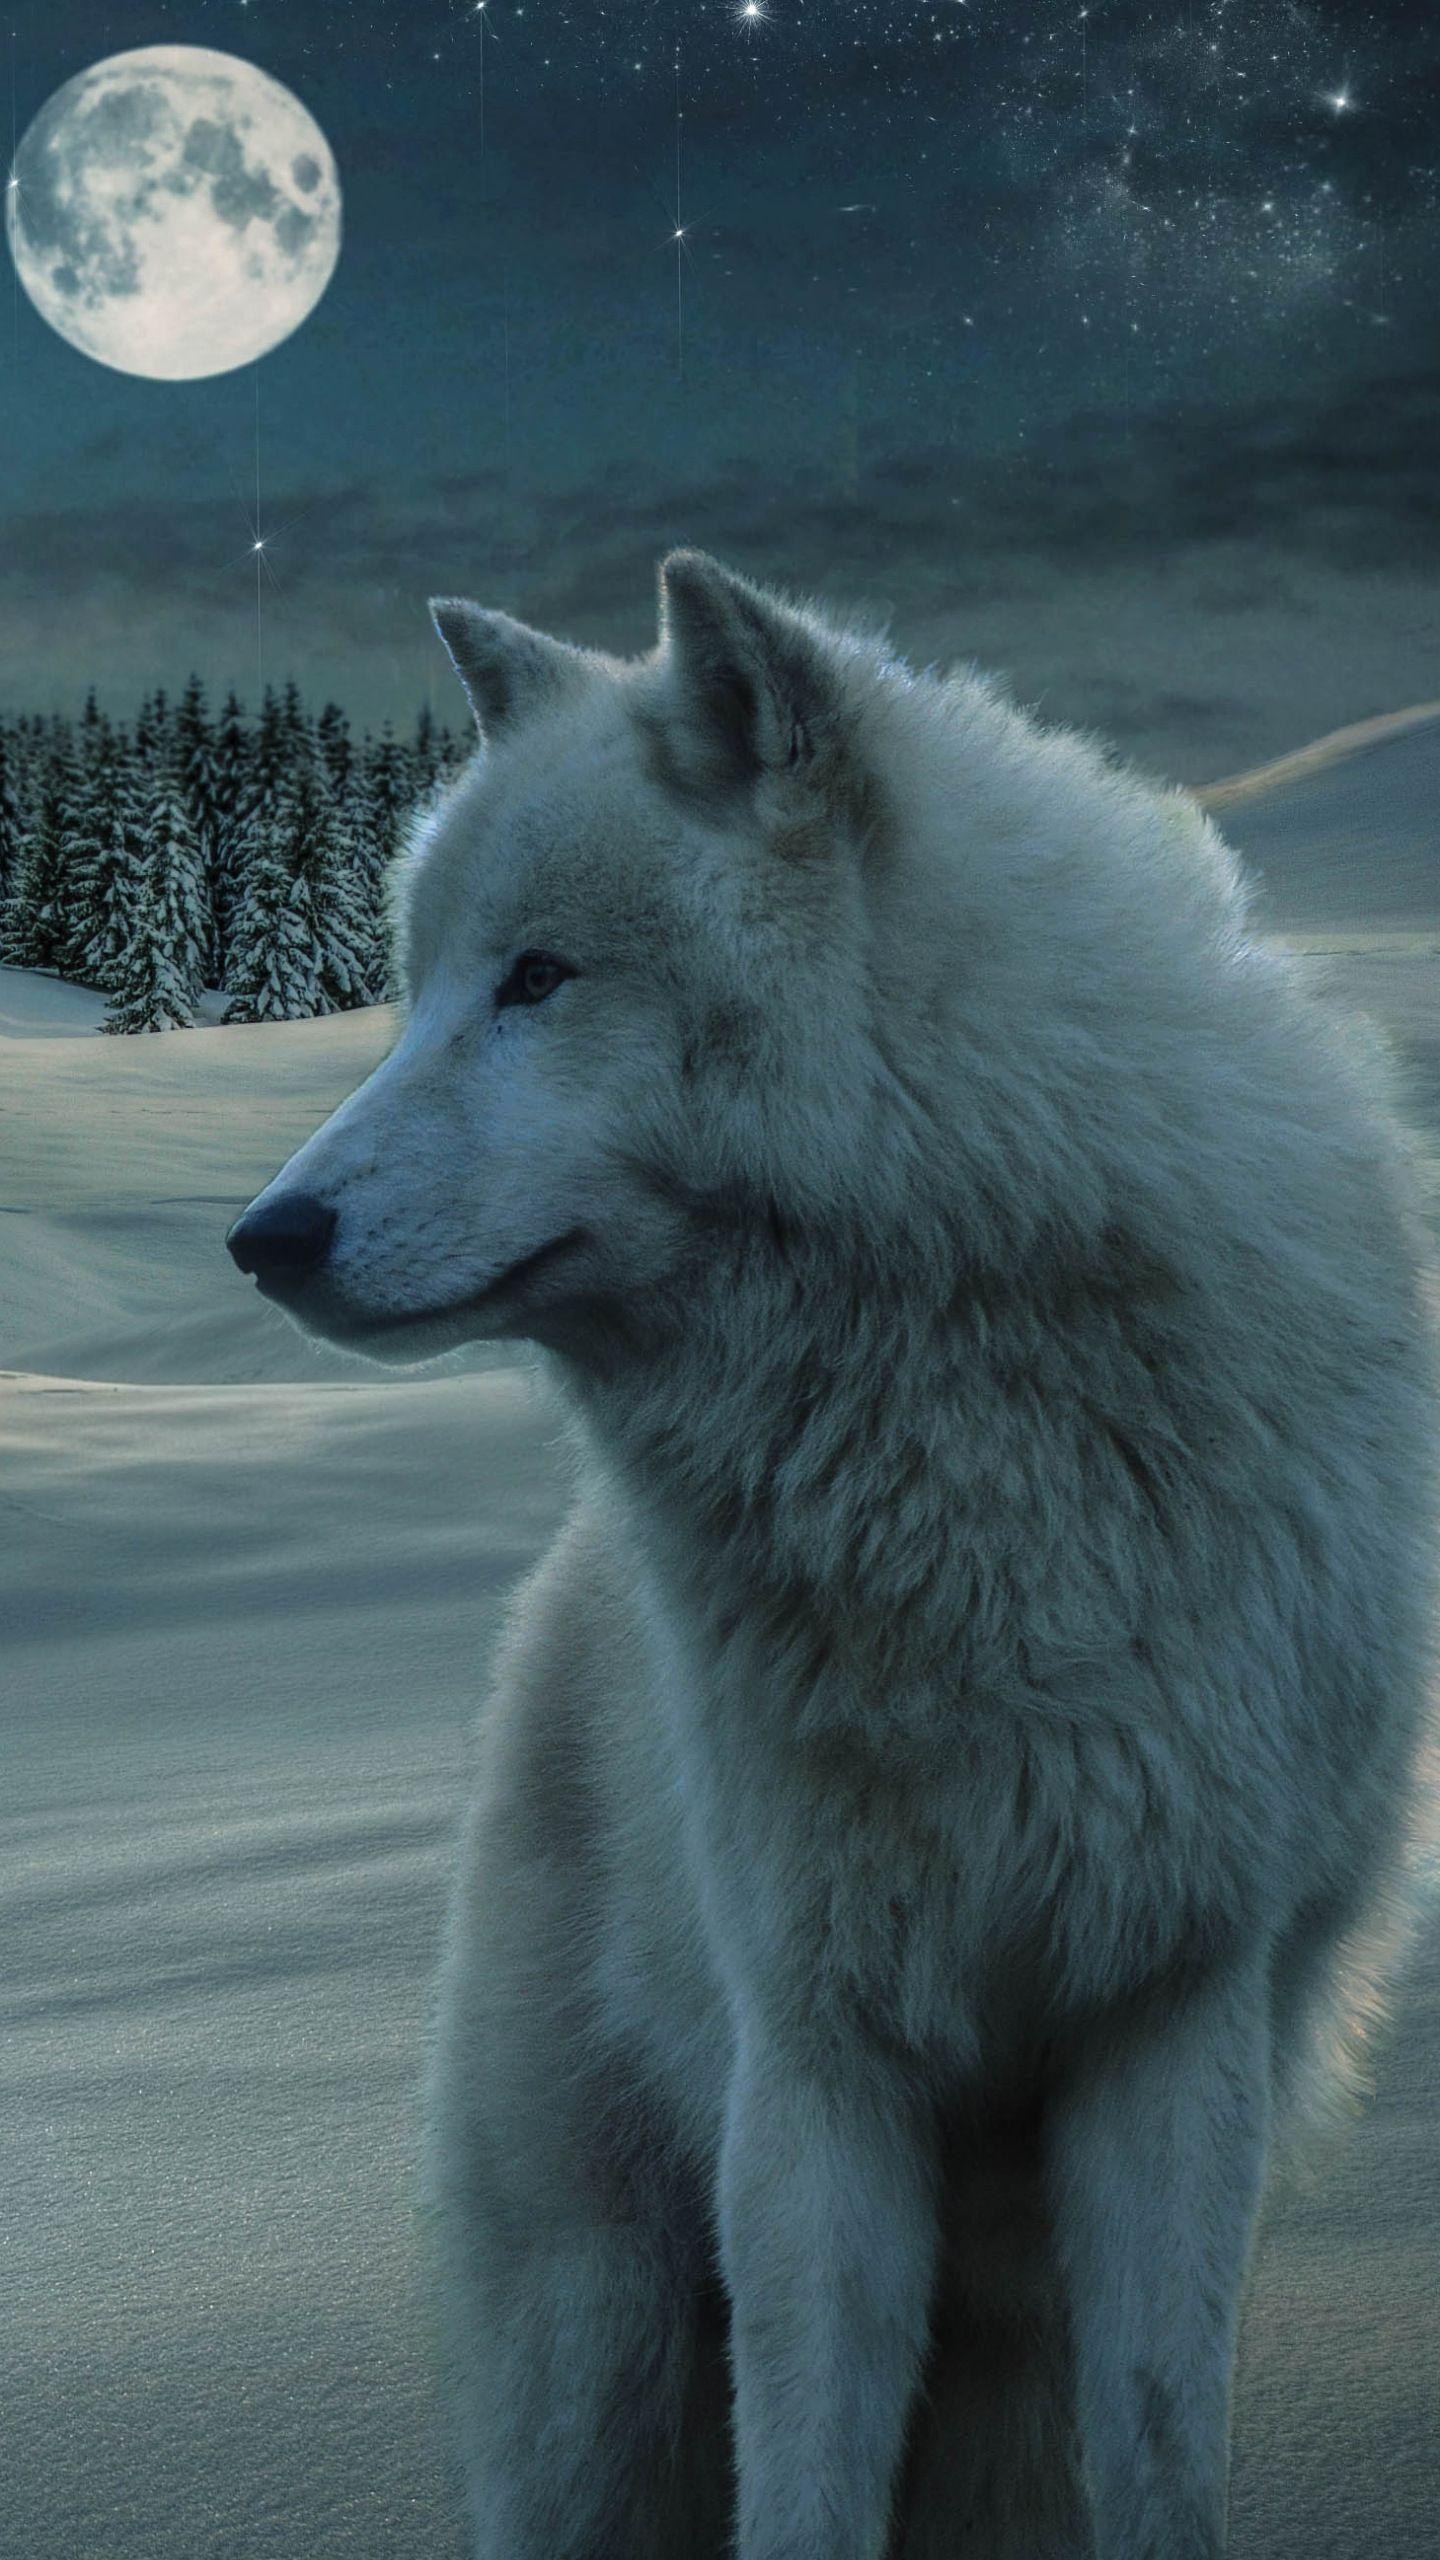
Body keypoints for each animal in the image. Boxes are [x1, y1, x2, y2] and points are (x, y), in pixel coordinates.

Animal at [227, 551, 1440, 2558]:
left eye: (539, 977)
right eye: (410, 995)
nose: (265, 1236)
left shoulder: (1173, 2011)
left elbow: (1163, 2449)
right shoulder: (814, 2060)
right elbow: (802, 2483)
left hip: (1000, 2358)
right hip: (598, 2337)